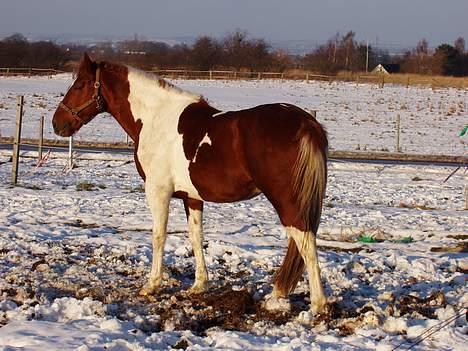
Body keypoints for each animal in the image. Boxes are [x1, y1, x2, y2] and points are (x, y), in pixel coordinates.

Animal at [52, 53, 330, 318]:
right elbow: (196, 237)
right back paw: (279, 294)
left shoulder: (158, 192)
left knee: (305, 242)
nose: (57, 123)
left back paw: (318, 305)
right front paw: (199, 285)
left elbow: (158, 235)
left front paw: (152, 285)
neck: (156, 119)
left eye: (81, 84)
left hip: (285, 199)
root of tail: (306, 123)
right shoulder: (192, 197)